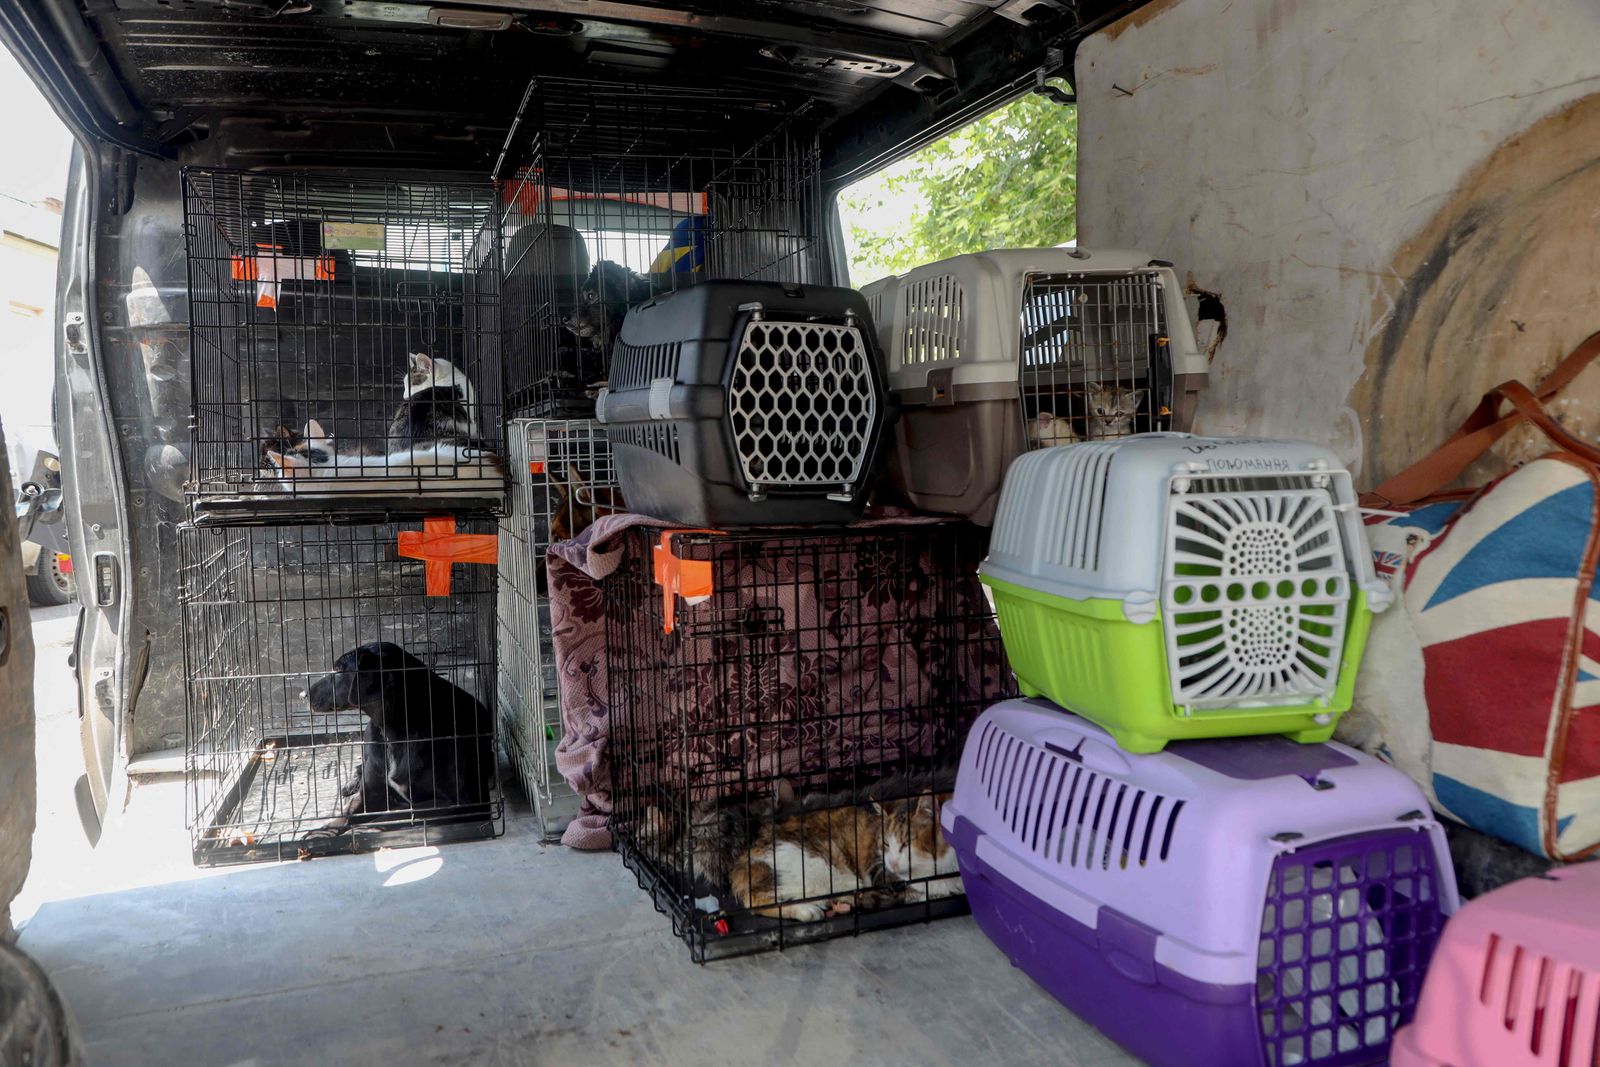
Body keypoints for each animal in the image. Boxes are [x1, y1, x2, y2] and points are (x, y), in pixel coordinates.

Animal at [180, 521, 499, 863]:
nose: (304, 695)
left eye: (340, 670)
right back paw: (349, 783)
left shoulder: (462, 802)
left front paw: (371, 827)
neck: (395, 730)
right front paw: (324, 830)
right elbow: (346, 811)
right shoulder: (373, 790)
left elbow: (399, 814)